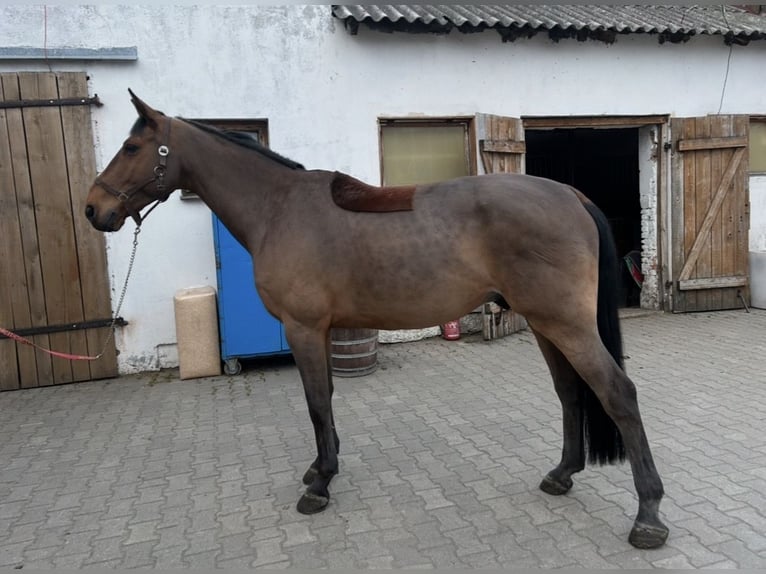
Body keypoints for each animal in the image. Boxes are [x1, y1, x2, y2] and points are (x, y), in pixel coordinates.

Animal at [85, 90, 669, 549]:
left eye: (132, 148)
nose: (93, 209)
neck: (279, 207)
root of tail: (569, 194)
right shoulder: (319, 331)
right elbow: (324, 401)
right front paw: (322, 468)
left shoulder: (303, 328)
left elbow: (317, 402)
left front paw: (319, 485)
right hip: (546, 324)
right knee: (570, 393)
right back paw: (562, 474)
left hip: (566, 324)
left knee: (618, 394)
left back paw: (649, 515)